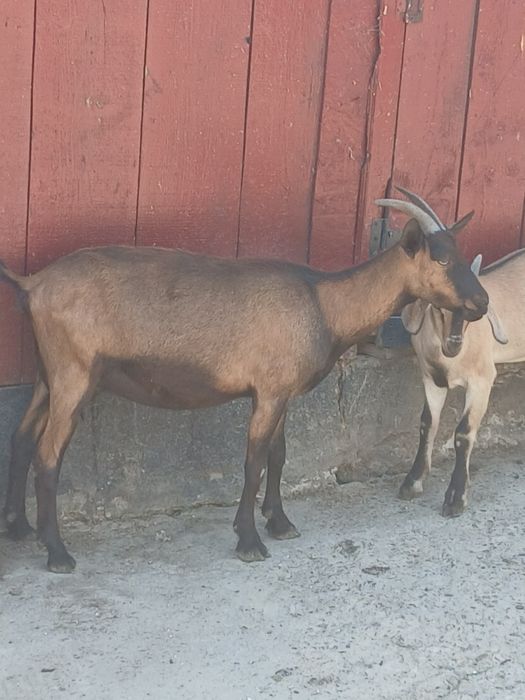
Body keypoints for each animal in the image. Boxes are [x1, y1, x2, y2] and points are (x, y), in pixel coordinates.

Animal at [0, 188, 488, 573]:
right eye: (441, 258)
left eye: (463, 254)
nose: (481, 302)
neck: (324, 304)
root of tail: (33, 284)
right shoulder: (268, 392)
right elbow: (254, 461)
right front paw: (249, 541)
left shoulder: (282, 393)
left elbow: (279, 455)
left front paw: (281, 523)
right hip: (74, 374)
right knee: (48, 455)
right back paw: (57, 552)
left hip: (49, 374)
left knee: (21, 439)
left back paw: (19, 528)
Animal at [399, 205, 524, 515]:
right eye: (437, 306)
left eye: (473, 313)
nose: (454, 345)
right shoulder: (432, 378)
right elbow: (427, 424)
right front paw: (412, 482)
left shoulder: (482, 380)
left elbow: (463, 433)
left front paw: (456, 498)